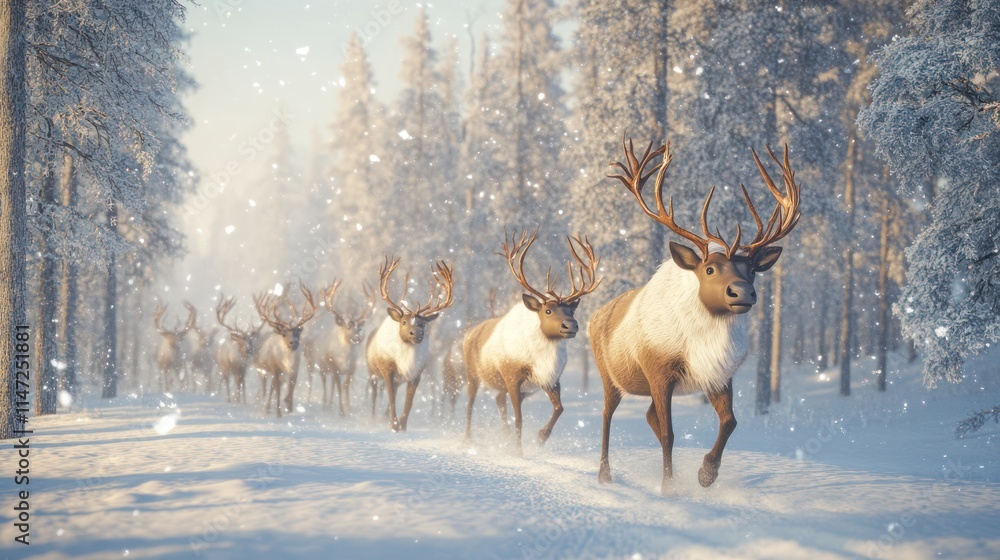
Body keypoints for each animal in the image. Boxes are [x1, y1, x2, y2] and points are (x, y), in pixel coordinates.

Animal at [253, 283, 317, 418]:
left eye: (298, 333)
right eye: (284, 334)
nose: (294, 343)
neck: (287, 362)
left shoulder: (294, 370)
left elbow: (290, 393)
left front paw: (290, 411)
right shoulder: (275, 368)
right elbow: (277, 391)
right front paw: (278, 413)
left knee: (273, 387)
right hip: (263, 368)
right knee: (267, 388)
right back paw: (266, 408)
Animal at [366, 257, 454, 431]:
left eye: (423, 324)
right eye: (404, 322)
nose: (417, 333)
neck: (406, 360)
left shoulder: (416, 374)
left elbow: (409, 402)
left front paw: (402, 425)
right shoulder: (387, 369)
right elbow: (391, 398)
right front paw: (394, 425)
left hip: (399, 379)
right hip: (372, 370)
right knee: (374, 393)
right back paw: (373, 417)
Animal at [463, 231, 602, 453]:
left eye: (571, 310)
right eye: (548, 310)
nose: (571, 325)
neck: (538, 358)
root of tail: (469, 333)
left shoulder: (550, 378)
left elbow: (559, 408)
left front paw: (541, 437)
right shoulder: (512, 376)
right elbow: (519, 418)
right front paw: (518, 452)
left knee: (498, 399)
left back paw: (505, 436)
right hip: (472, 373)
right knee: (470, 403)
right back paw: (468, 438)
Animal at [590, 135, 801, 494]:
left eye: (752, 270)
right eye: (710, 269)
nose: (742, 292)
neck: (700, 341)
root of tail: (594, 315)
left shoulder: (719, 374)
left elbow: (730, 421)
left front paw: (705, 474)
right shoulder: (659, 371)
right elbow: (668, 432)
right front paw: (669, 488)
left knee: (647, 415)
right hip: (610, 375)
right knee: (606, 414)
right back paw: (605, 475)